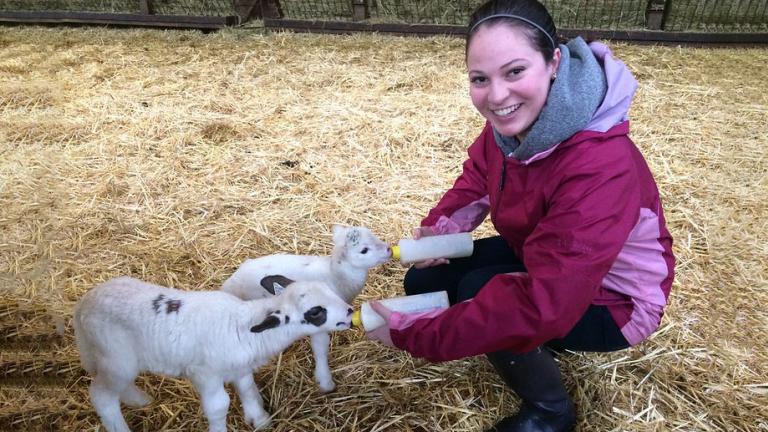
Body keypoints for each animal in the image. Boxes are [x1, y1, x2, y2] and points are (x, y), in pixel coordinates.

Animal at [73, 276, 352, 432]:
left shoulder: (240, 368)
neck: (242, 324)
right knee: (102, 396)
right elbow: (219, 406)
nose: (350, 312)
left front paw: (260, 420)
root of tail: (84, 303)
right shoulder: (205, 375)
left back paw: (141, 400)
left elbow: (247, 390)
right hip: (116, 359)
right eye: (316, 312)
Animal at [220, 224, 390, 394]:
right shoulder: (319, 321)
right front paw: (326, 382)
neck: (336, 275)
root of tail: (231, 281)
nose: (388, 249)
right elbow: (321, 347)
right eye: (364, 250)